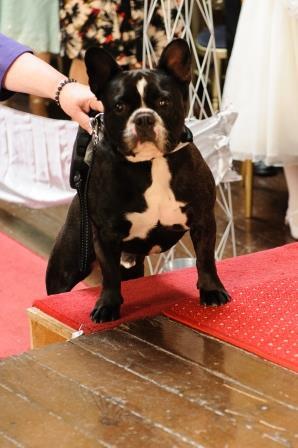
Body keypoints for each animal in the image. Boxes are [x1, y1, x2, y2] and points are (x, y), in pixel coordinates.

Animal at [46, 38, 230, 322]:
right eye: (119, 107)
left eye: (164, 102)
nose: (144, 118)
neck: (151, 163)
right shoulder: (106, 235)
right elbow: (109, 275)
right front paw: (107, 305)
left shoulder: (203, 220)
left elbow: (205, 259)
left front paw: (211, 291)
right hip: (69, 261)